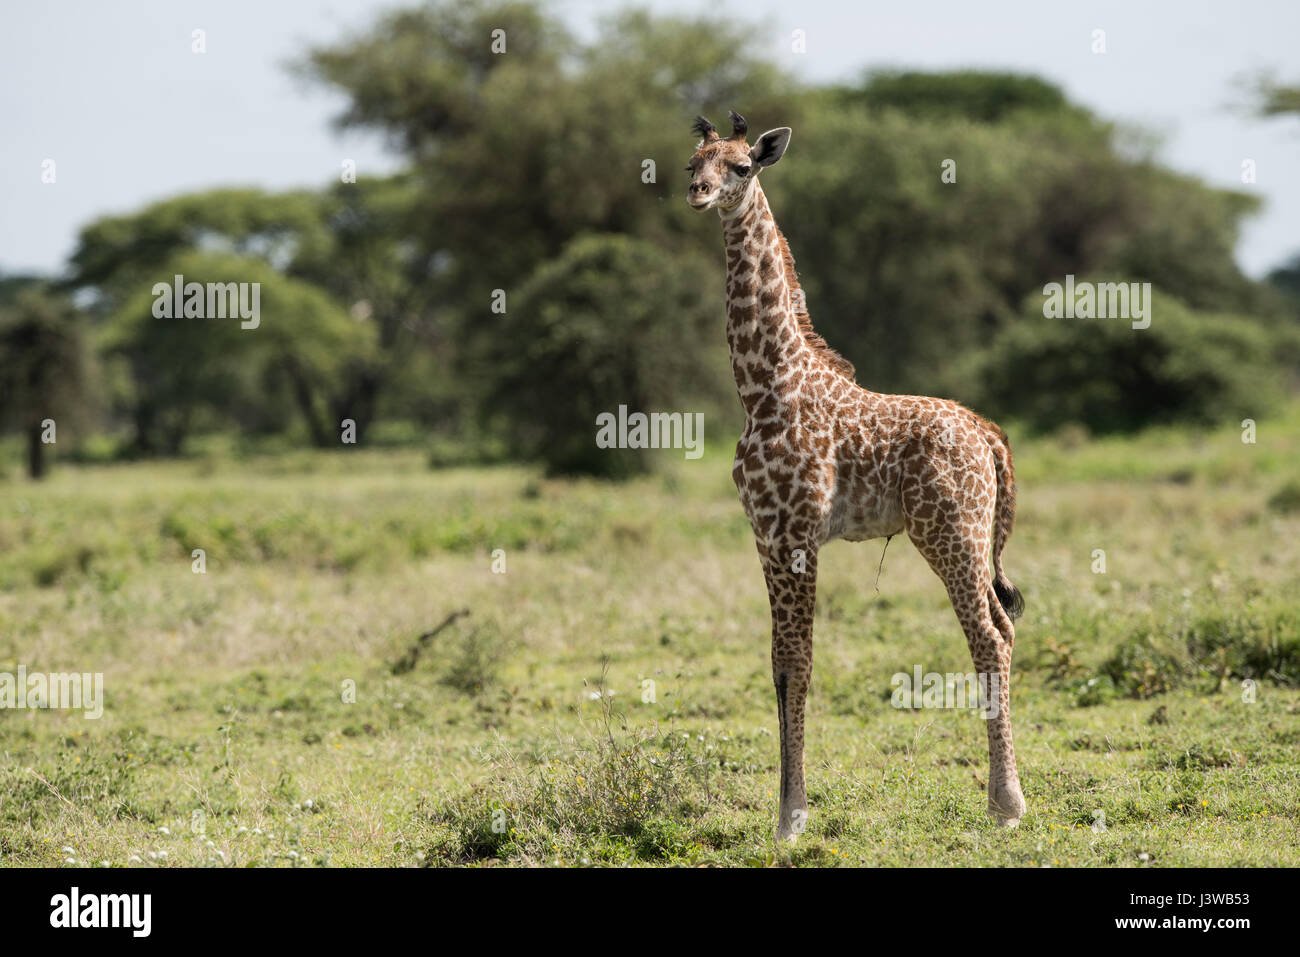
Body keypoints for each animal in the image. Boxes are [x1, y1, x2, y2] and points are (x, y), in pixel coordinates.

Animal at [686, 111, 1029, 842]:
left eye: (741, 167)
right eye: (691, 164)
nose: (697, 194)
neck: (763, 387)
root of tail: (989, 435)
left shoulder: (796, 534)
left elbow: (800, 662)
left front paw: (792, 817)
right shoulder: (764, 536)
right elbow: (779, 666)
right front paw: (786, 809)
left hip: (950, 534)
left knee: (988, 638)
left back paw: (1007, 804)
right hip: (967, 540)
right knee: (1005, 628)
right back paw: (1003, 796)